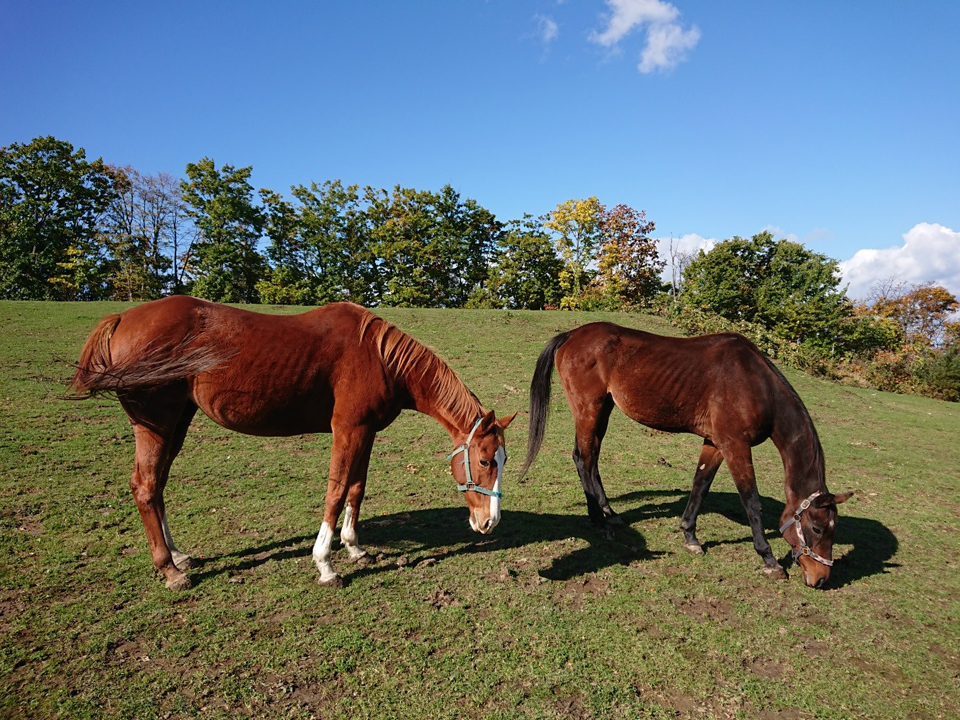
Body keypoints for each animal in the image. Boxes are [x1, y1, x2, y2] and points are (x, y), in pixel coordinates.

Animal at [73, 296, 516, 592]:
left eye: (503, 460)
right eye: (484, 461)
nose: (490, 522)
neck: (379, 357)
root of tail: (122, 317)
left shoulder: (367, 431)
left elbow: (357, 488)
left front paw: (354, 547)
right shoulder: (347, 430)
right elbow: (336, 492)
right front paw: (326, 565)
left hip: (178, 421)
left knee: (158, 484)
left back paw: (178, 554)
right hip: (157, 423)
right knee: (145, 485)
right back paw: (170, 570)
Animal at [520, 324, 852, 588]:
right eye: (817, 528)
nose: (821, 578)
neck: (755, 383)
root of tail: (572, 334)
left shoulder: (715, 442)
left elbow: (700, 485)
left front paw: (690, 536)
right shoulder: (735, 445)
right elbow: (751, 502)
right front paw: (769, 560)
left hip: (603, 410)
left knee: (593, 460)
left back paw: (609, 514)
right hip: (589, 410)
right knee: (583, 458)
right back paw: (598, 521)